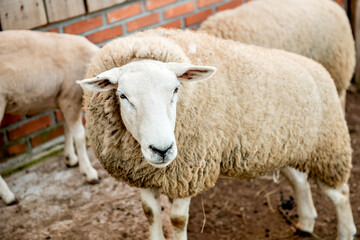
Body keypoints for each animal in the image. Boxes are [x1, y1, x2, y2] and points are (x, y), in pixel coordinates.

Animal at [0, 30, 100, 205]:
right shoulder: (70, 96)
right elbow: (80, 135)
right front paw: (88, 172)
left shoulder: (63, 97)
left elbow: (66, 128)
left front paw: (70, 158)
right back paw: (8, 196)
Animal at [77, 28, 356, 240]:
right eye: (123, 96)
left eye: (176, 89)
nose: (162, 150)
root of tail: (318, 69)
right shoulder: (140, 174)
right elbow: (150, 213)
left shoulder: (189, 172)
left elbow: (177, 220)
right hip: (286, 147)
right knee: (299, 180)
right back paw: (306, 223)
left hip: (328, 148)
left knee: (341, 193)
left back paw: (345, 232)